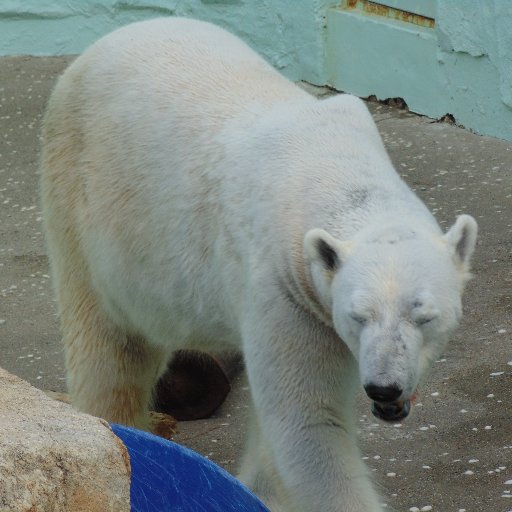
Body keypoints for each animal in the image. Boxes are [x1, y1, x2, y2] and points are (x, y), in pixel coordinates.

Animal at [40, 17, 476, 512]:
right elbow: (308, 424)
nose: (384, 388)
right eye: (357, 316)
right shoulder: (285, 289)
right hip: (81, 203)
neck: (333, 168)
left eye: (423, 316)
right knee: (109, 353)